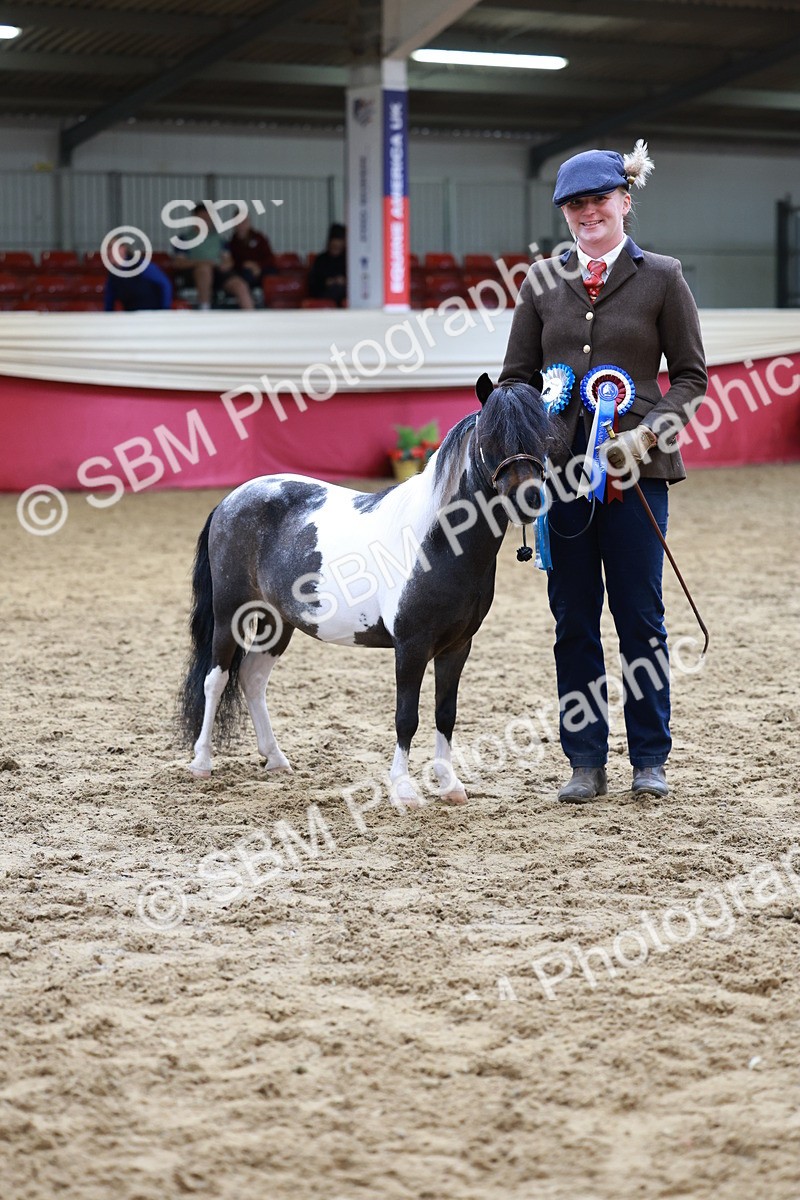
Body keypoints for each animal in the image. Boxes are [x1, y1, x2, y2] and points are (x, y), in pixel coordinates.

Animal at [179, 374, 549, 807]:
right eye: (490, 437)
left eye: (543, 431)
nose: (529, 499)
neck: (437, 541)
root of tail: (231, 499)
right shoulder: (411, 646)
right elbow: (407, 717)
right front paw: (403, 789)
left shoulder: (458, 646)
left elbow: (445, 713)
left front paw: (450, 784)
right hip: (230, 614)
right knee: (216, 679)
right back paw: (202, 763)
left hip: (277, 622)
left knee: (252, 679)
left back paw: (276, 759)